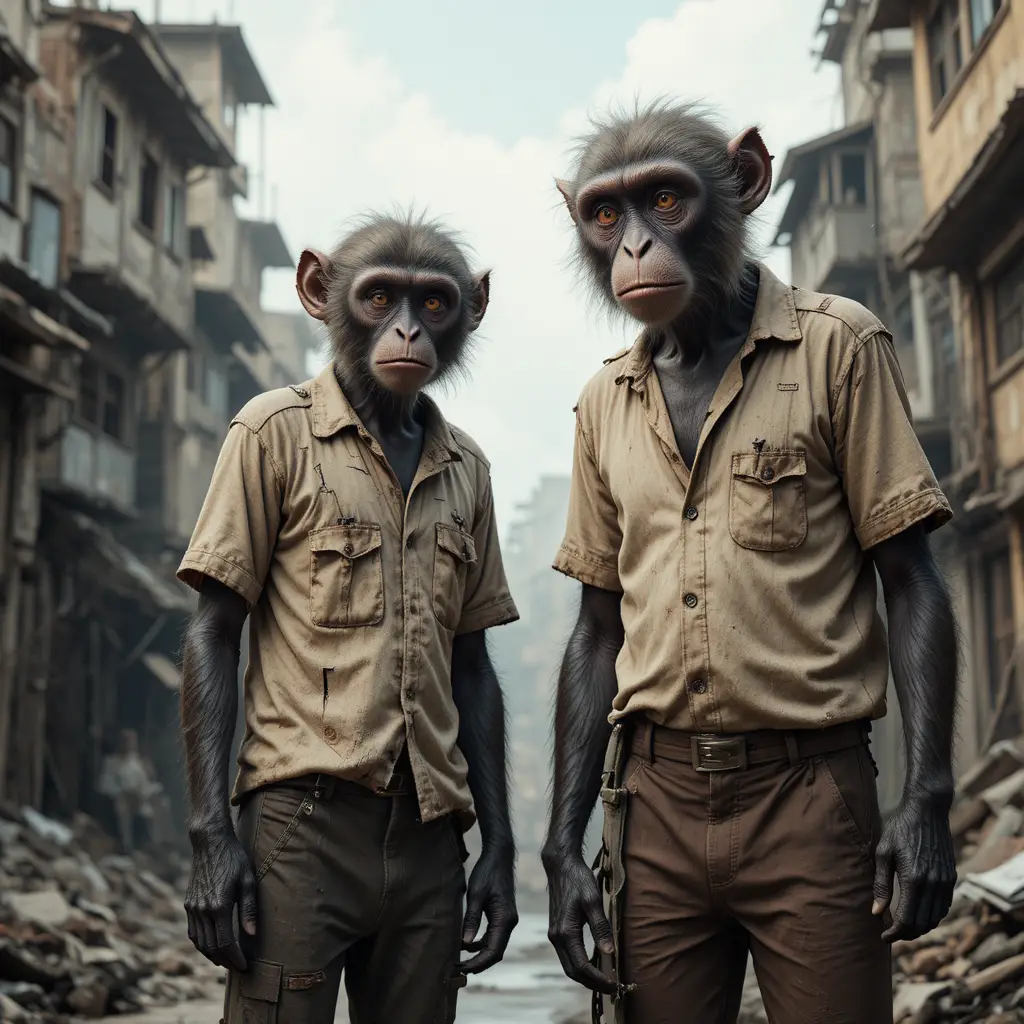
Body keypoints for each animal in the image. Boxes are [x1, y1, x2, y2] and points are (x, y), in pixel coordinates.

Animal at [178, 213, 520, 1024]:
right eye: (379, 296)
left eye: (433, 301)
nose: (406, 330)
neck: (380, 419)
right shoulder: (248, 439)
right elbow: (217, 625)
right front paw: (215, 873)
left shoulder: (480, 478)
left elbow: (469, 662)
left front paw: (498, 882)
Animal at [542, 102, 958, 1023]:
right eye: (604, 211)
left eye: (665, 197)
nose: (633, 246)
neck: (702, 342)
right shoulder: (590, 413)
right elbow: (599, 622)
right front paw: (564, 884)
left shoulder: (866, 349)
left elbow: (908, 573)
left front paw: (919, 839)